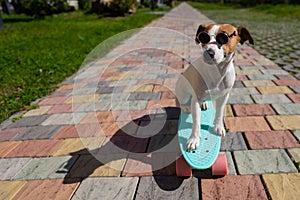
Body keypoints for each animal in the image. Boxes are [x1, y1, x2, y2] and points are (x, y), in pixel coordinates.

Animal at [175, 23, 254, 151]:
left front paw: (218, 127)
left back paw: (204, 103)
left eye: (223, 38)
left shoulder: (224, 96)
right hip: (184, 94)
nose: (209, 53)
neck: (217, 73)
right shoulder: (196, 99)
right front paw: (194, 139)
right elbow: (196, 121)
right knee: (181, 102)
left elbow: (219, 112)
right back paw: (186, 107)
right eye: (203, 37)